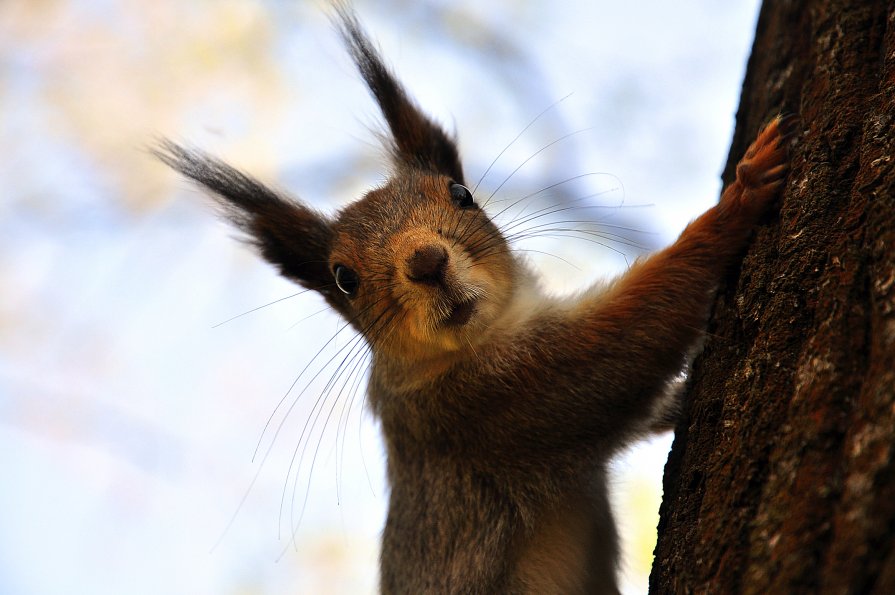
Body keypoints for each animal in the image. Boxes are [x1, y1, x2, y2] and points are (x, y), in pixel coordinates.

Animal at [154, 8, 792, 595]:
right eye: (343, 278)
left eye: (461, 194)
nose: (426, 263)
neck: (488, 329)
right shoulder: (488, 403)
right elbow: (625, 345)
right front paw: (739, 198)